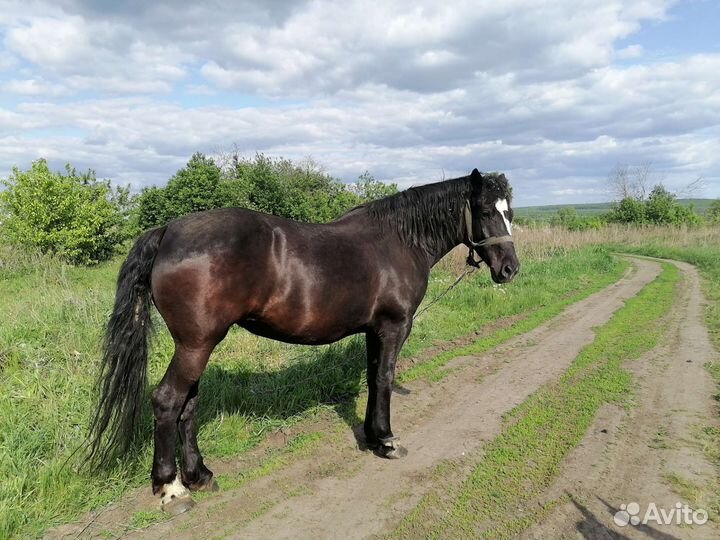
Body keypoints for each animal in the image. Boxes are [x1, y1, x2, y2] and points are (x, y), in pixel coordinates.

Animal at [88, 168, 519, 514]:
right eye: (485, 211)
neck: (398, 241)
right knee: (167, 401)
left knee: (188, 405)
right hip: (196, 344)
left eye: (510, 212)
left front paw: (371, 436)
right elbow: (383, 379)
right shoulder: (394, 327)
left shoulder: (373, 330)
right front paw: (387, 440)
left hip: (196, 345)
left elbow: (372, 378)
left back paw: (200, 474)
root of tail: (168, 232)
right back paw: (172, 489)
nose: (510, 269)